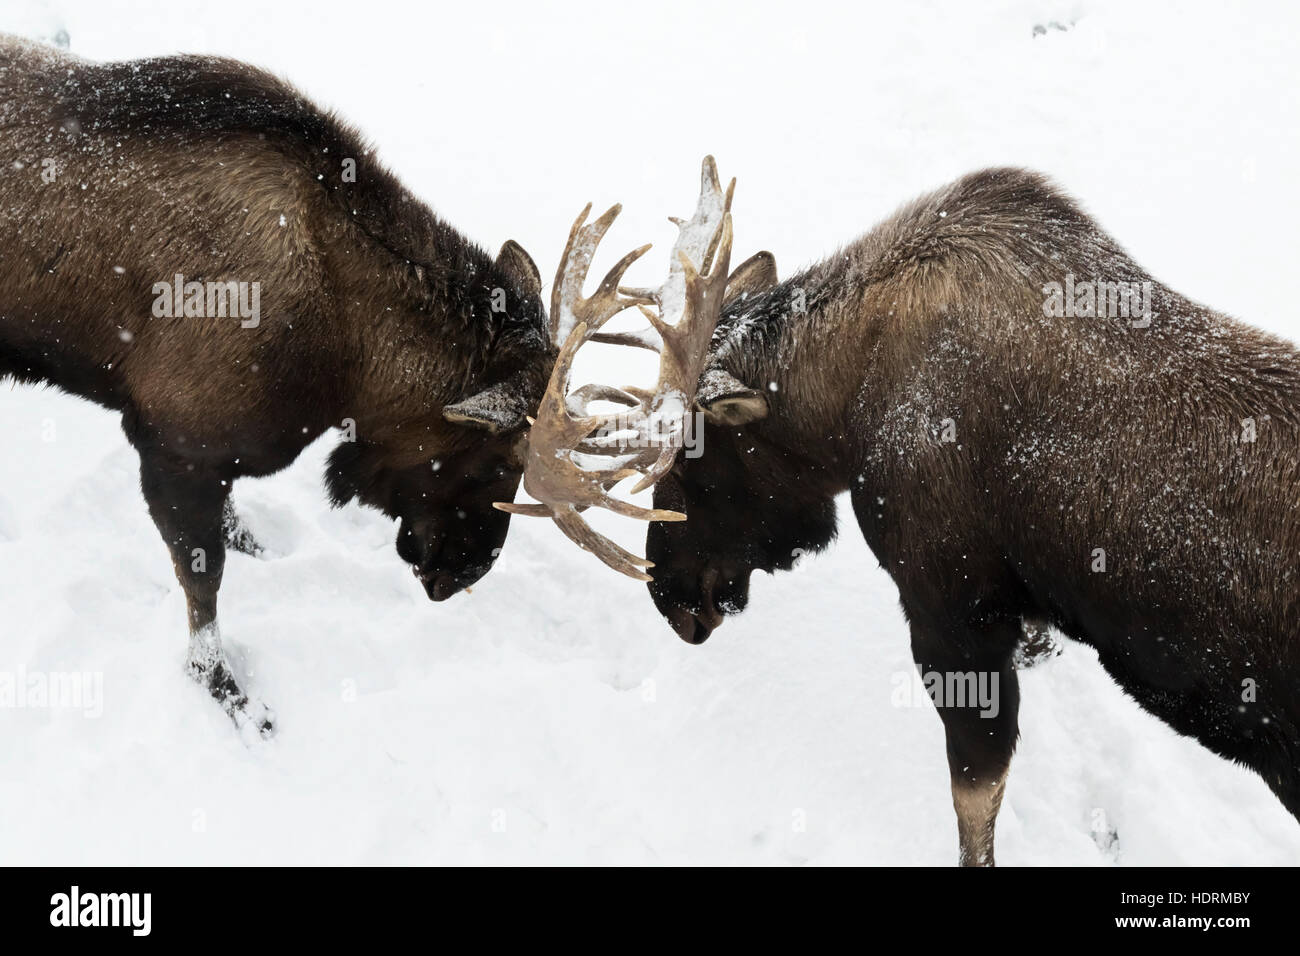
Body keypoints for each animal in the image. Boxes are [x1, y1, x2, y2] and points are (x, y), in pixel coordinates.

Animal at [0, 33, 551, 728]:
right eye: (498, 459)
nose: (465, 573)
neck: (345, 358)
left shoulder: (206, 455)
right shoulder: (173, 447)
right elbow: (204, 592)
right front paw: (227, 693)